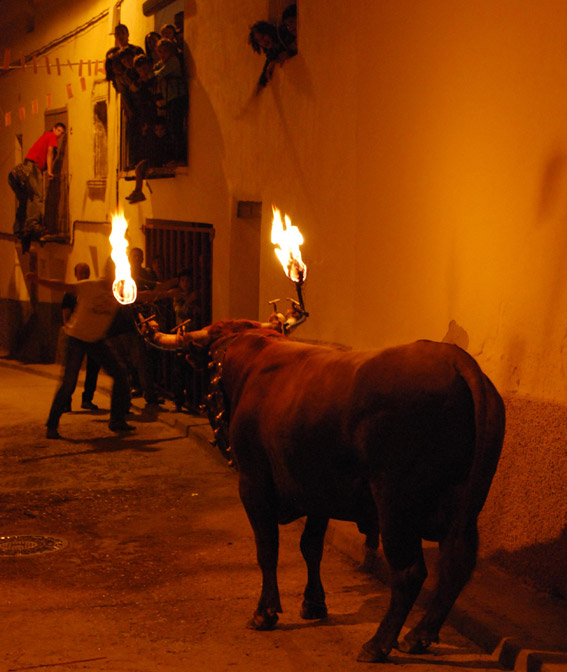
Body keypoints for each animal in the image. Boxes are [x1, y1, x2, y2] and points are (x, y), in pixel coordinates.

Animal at [146, 318, 505, 663]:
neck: (252, 355)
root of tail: (453, 357)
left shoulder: (253, 482)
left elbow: (267, 550)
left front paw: (265, 612)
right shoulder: (318, 491)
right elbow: (310, 546)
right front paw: (314, 603)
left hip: (395, 503)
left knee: (409, 572)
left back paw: (378, 644)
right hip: (464, 506)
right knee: (455, 566)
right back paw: (419, 635)